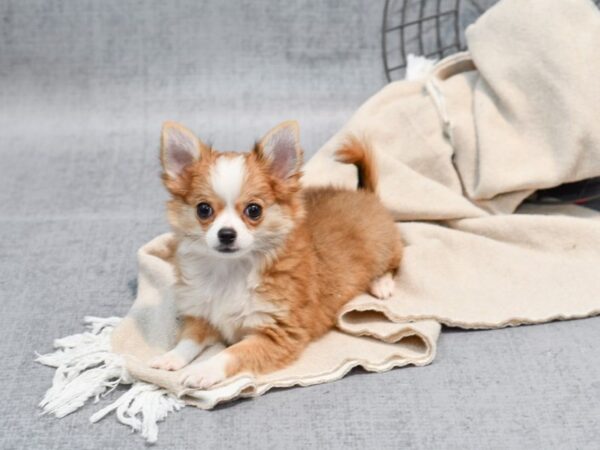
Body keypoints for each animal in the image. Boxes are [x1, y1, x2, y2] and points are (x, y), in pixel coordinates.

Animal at [150, 121, 404, 388]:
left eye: (254, 210)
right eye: (203, 209)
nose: (226, 234)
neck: (232, 271)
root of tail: (365, 194)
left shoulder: (276, 333)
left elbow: (231, 353)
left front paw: (204, 370)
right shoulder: (203, 316)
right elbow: (189, 340)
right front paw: (170, 357)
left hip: (383, 246)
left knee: (394, 261)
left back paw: (382, 284)